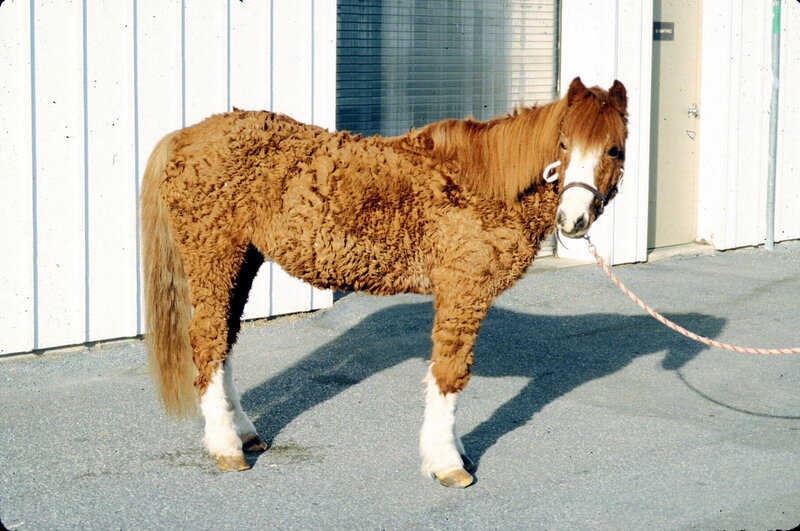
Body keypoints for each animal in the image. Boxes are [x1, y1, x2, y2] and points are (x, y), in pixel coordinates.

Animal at [141, 76, 628, 488]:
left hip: (244, 259)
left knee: (223, 342)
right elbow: (449, 374)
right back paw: (226, 448)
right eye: (563, 144)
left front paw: (456, 452)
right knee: (207, 340)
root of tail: (185, 137)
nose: (573, 220)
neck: (485, 184)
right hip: (214, 255)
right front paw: (447, 463)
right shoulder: (463, 289)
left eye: (614, 150)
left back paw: (243, 433)